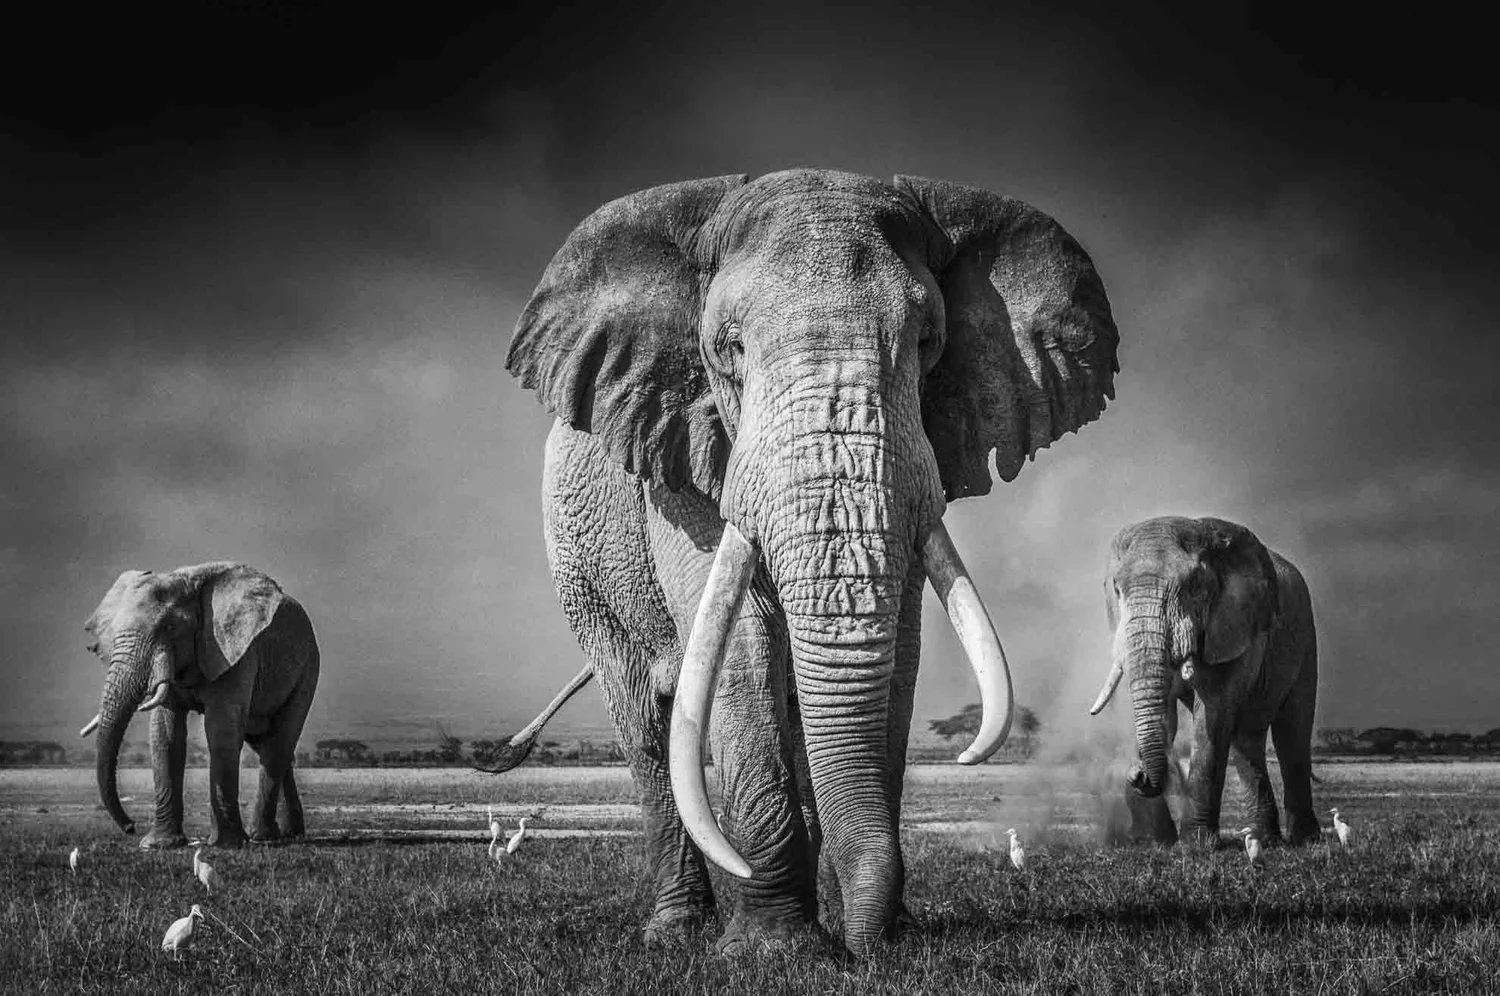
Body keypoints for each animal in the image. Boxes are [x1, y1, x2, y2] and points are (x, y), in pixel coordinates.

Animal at [77, 562, 320, 849]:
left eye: (170, 627)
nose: (130, 827)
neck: (185, 580)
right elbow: (165, 735)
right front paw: (159, 844)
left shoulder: (235, 651)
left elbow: (220, 730)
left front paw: (227, 845)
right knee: (268, 745)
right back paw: (288, 834)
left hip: (308, 668)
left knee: (279, 742)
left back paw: (261, 835)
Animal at [500, 168, 1120, 957]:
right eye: (729, 348)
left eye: (929, 343)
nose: (866, 950)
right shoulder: (683, 462)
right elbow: (741, 649)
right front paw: (771, 952)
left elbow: (902, 654)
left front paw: (880, 937)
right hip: (579, 566)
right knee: (642, 717)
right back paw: (676, 933)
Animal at [1088, 516, 1320, 847]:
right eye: (1117, 589)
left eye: (1193, 587)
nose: (1137, 773)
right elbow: (1168, 714)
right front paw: (1155, 842)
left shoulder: (1233, 624)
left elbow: (1213, 711)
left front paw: (1194, 846)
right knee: (1246, 738)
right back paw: (1265, 839)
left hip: (1305, 635)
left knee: (1292, 731)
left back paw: (1304, 840)